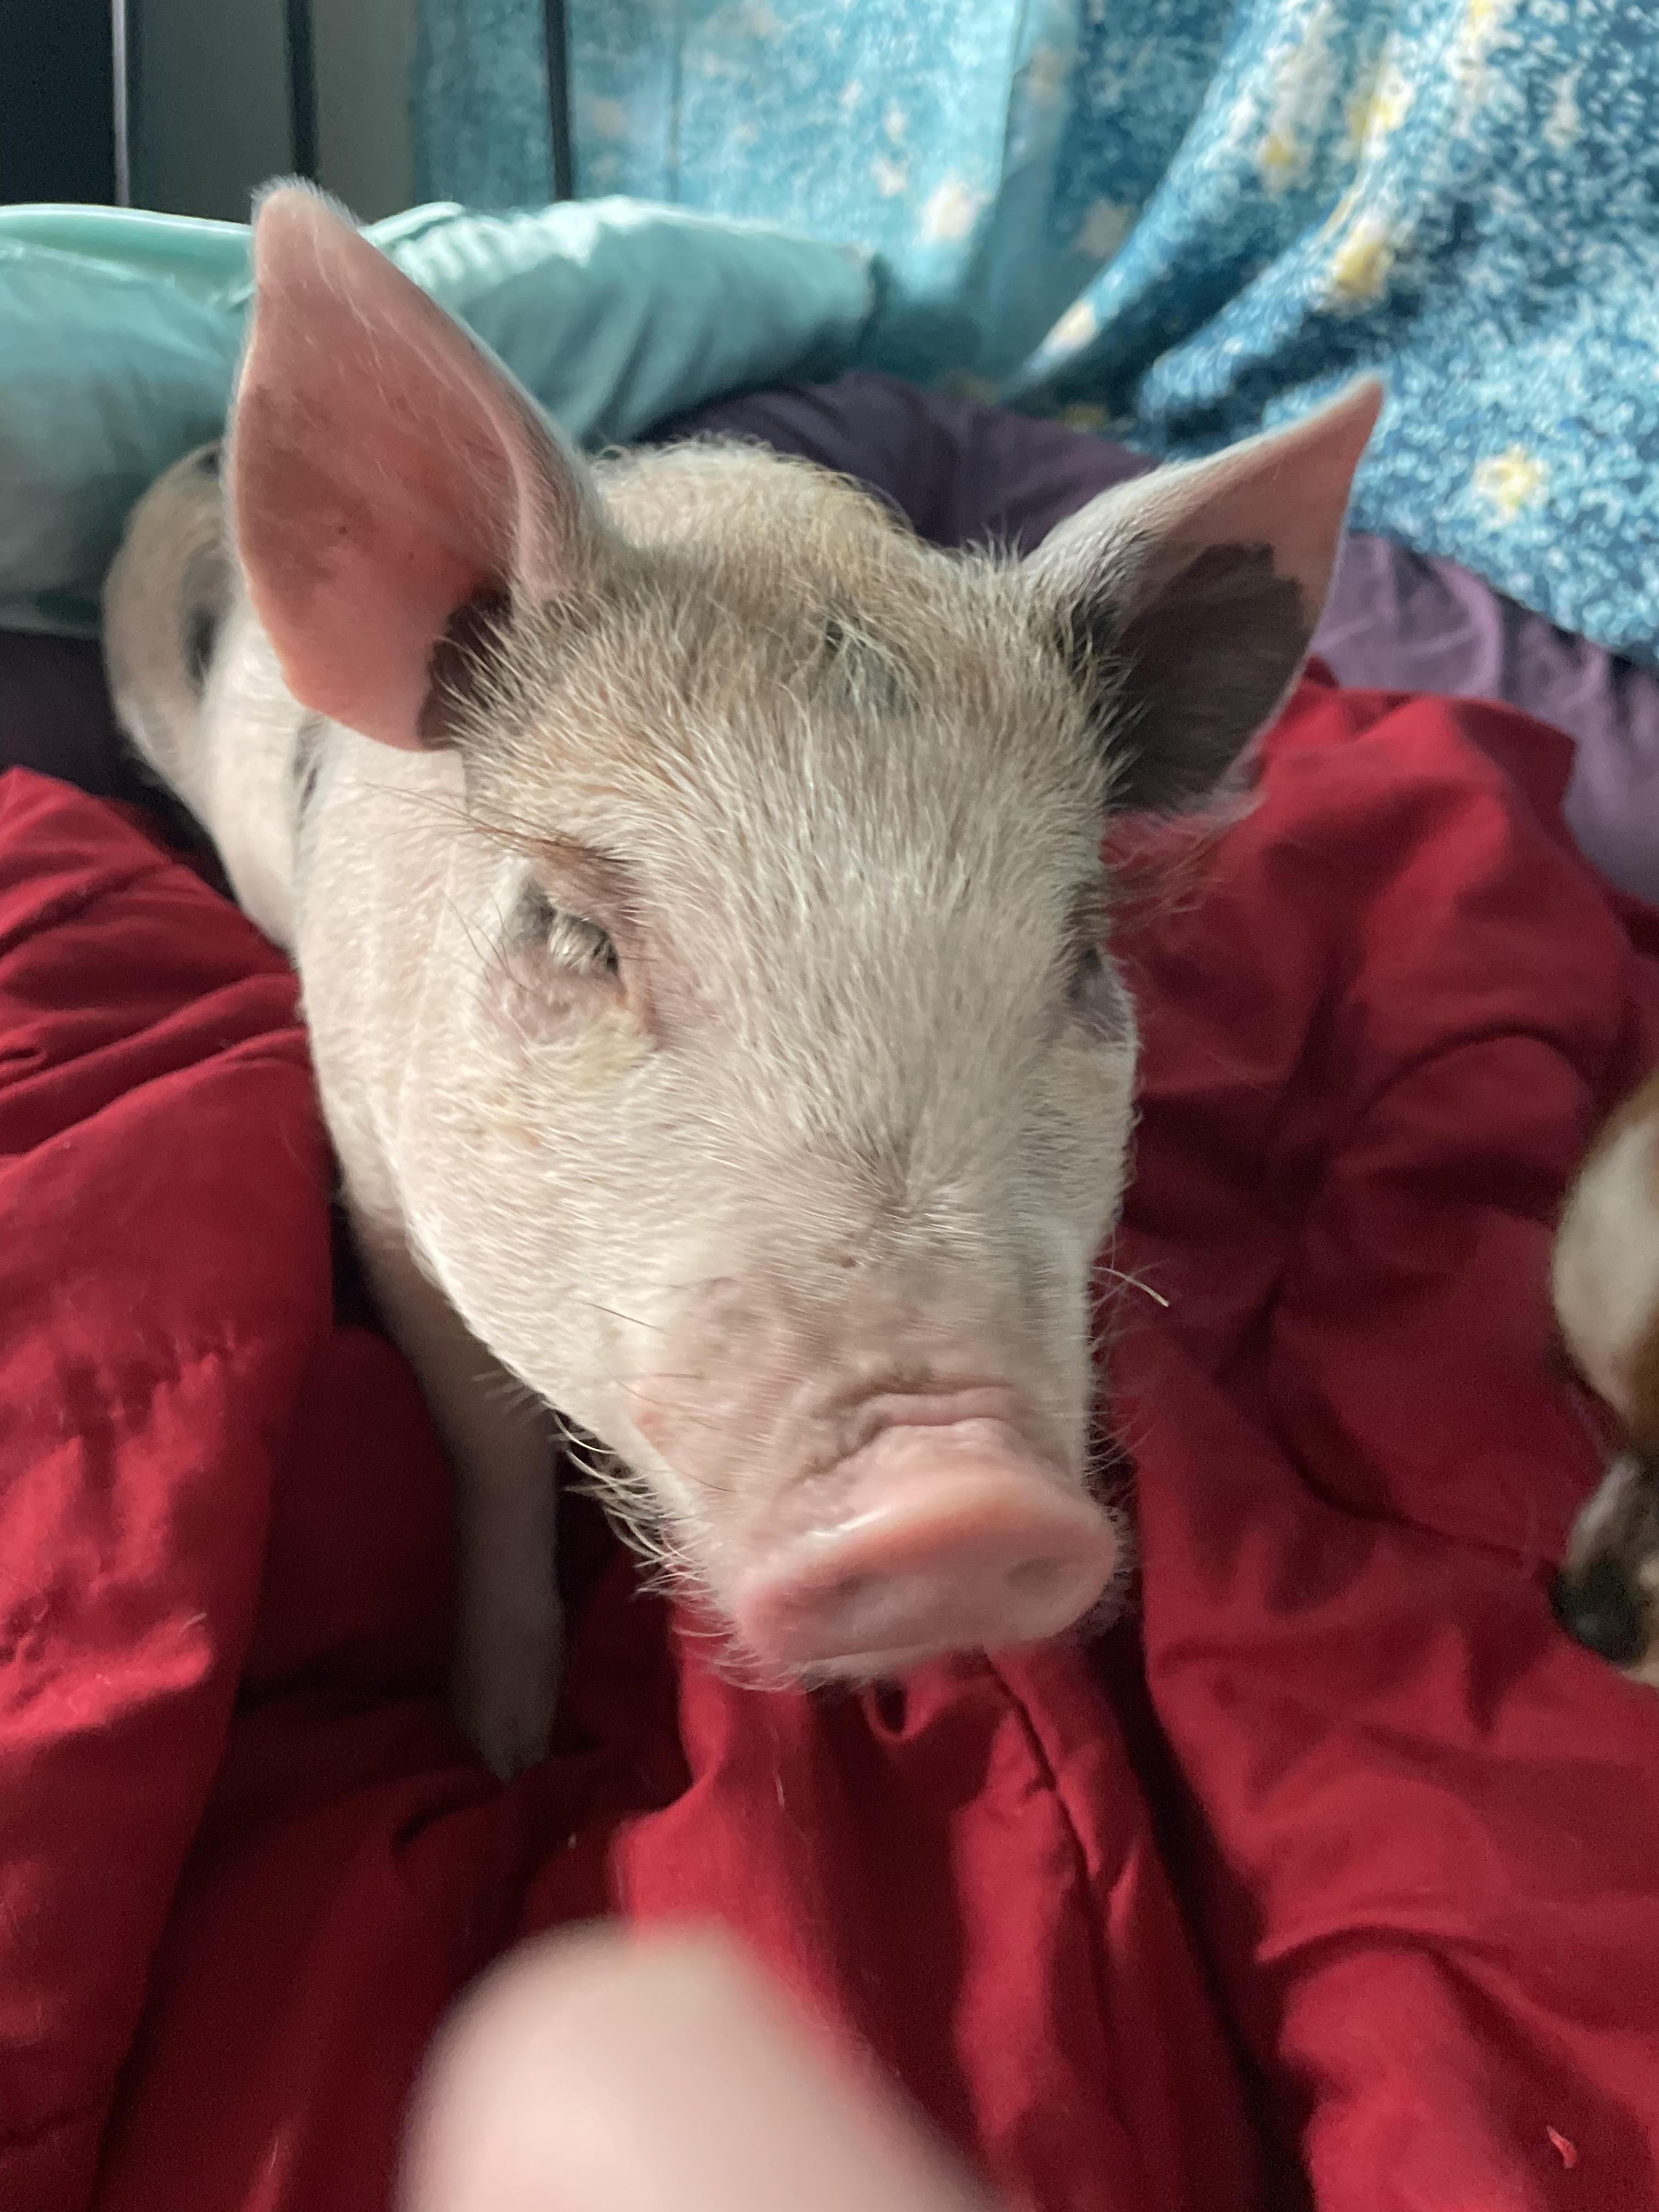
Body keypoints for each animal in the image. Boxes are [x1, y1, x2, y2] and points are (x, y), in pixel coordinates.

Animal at [103, 182, 1380, 1778]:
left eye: (1079, 958)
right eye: (572, 934)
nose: (959, 1503)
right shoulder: (380, 1191)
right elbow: (486, 1443)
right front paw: (506, 1748)